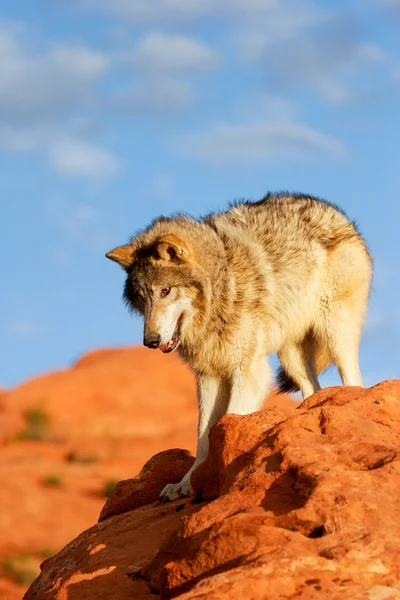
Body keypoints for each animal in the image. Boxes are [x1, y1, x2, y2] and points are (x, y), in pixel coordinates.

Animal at [105, 192, 372, 502]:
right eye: (141, 297)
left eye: (165, 291)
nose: (150, 341)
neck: (223, 286)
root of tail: (337, 213)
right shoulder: (209, 376)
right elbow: (203, 437)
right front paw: (186, 483)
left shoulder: (249, 371)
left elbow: (231, 420)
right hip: (292, 358)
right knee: (312, 390)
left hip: (335, 331)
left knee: (354, 381)